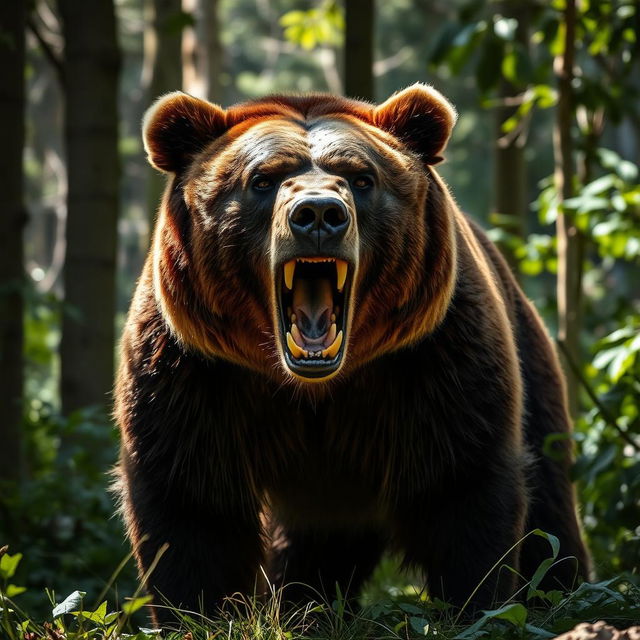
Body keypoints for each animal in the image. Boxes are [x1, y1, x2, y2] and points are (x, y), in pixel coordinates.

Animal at [114, 82, 592, 628]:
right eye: (262, 179)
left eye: (362, 179)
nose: (319, 214)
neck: (316, 385)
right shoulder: (194, 371)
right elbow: (193, 503)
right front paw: (200, 615)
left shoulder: (434, 360)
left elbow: (462, 486)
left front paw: (476, 608)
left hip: (529, 362)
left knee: (550, 507)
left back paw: (565, 593)